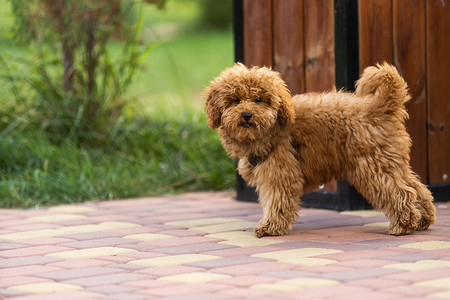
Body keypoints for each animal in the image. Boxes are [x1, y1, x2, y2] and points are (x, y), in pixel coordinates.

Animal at [205, 62, 436, 237]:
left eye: (258, 99)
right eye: (235, 100)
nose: (246, 115)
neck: (273, 127)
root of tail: (378, 106)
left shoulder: (280, 173)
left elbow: (276, 201)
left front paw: (270, 227)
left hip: (373, 166)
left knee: (399, 191)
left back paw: (403, 225)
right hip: (390, 160)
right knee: (416, 188)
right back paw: (422, 220)